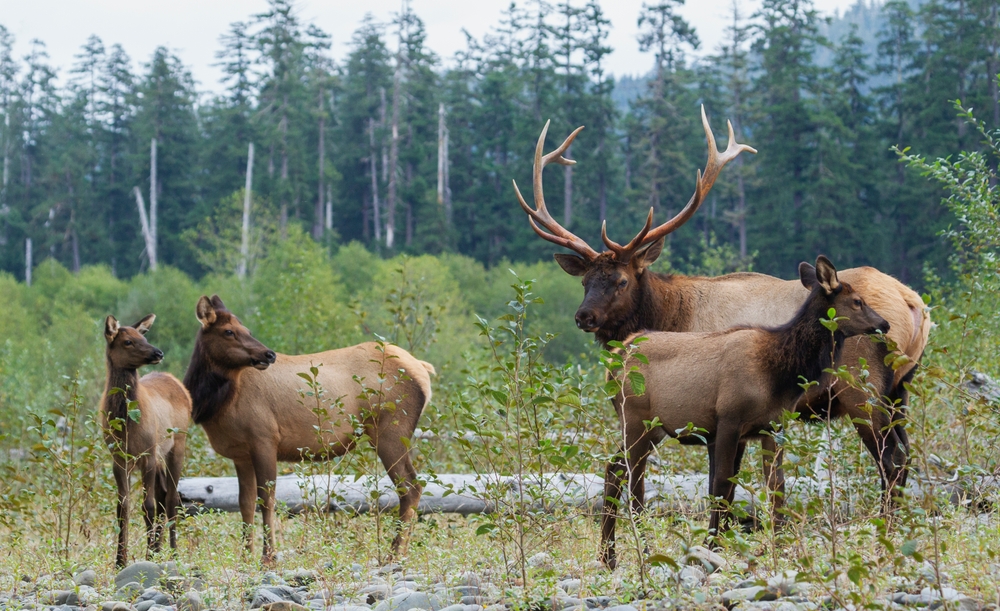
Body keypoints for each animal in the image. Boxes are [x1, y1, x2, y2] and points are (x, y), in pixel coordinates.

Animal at [101, 314, 192, 569]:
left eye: (144, 337)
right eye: (128, 341)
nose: (158, 352)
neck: (126, 425)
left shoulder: (148, 454)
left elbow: (147, 506)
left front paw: (148, 554)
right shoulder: (118, 458)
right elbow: (122, 507)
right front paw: (120, 560)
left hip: (176, 445)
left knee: (171, 499)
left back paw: (172, 551)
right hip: (161, 456)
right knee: (163, 495)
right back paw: (160, 548)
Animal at [183, 295, 435, 565]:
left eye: (246, 330)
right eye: (229, 331)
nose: (268, 354)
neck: (216, 403)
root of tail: (423, 369)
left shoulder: (264, 439)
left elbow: (268, 500)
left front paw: (268, 557)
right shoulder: (240, 453)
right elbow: (245, 503)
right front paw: (245, 557)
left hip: (389, 431)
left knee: (410, 486)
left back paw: (393, 554)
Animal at [513, 106, 930, 516]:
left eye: (621, 281)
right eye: (585, 281)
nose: (584, 316)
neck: (671, 315)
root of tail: (915, 306)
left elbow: (727, 486)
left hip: (863, 390)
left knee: (890, 462)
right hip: (900, 391)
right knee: (906, 458)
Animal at [599, 256, 890, 567]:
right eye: (857, 301)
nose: (883, 324)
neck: (780, 374)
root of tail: (615, 358)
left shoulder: (772, 426)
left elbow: (775, 486)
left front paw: (780, 545)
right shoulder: (729, 420)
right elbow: (721, 484)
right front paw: (712, 544)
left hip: (653, 428)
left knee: (620, 470)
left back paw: (615, 553)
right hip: (635, 418)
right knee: (625, 474)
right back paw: (625, 552)